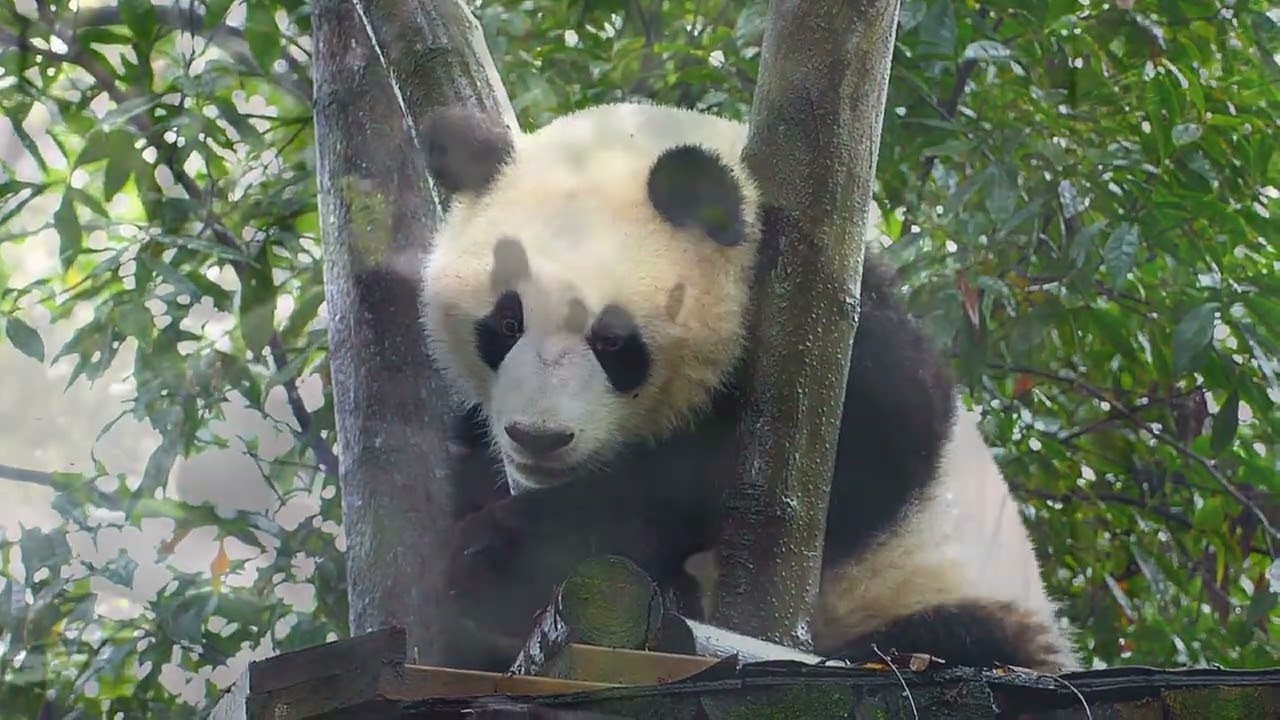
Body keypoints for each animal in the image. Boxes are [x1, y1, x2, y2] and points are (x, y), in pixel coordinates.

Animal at [417, 101, 1080, 674]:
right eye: (506, 323)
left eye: (612, 342)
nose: (539, 437)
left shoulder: (831, 334)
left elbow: (868, 456)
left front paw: (503, 559)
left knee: (946, 639)